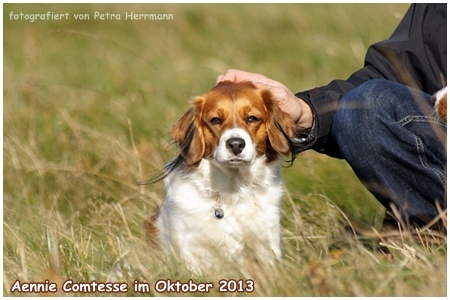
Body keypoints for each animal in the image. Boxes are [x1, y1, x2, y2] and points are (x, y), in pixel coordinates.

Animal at [144, 81, 298, 270]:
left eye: (252, 118)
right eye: (215, 120)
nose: (236, 144)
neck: (232, 190)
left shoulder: (267, 244)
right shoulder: (190, 251)